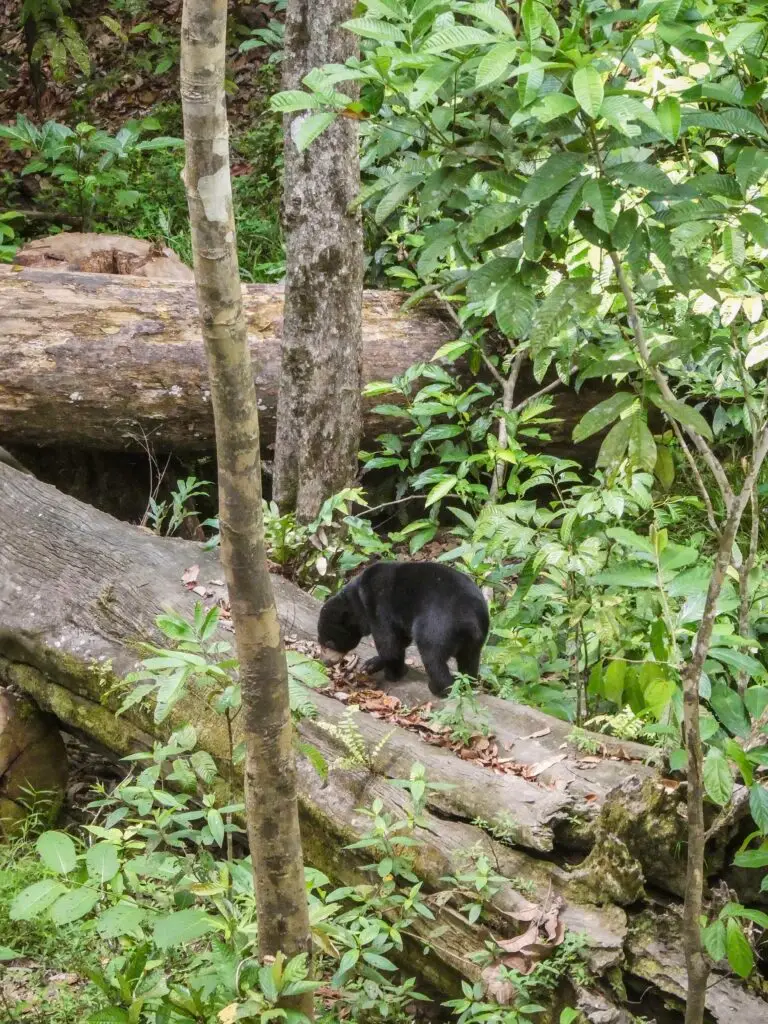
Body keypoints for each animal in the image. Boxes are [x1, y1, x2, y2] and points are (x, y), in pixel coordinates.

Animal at [317, 561, 487, 696]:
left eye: (329, 644)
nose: (324, 662)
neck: (358, 600)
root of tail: (470, 618)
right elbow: (401, 640)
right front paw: (371, 664)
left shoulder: (378, 606)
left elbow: (389, 645)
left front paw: (394, 673)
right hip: (476, 639)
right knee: (470, 660)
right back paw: (467, 684)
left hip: (438, 626)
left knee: (432, 656)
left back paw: (439, 688)